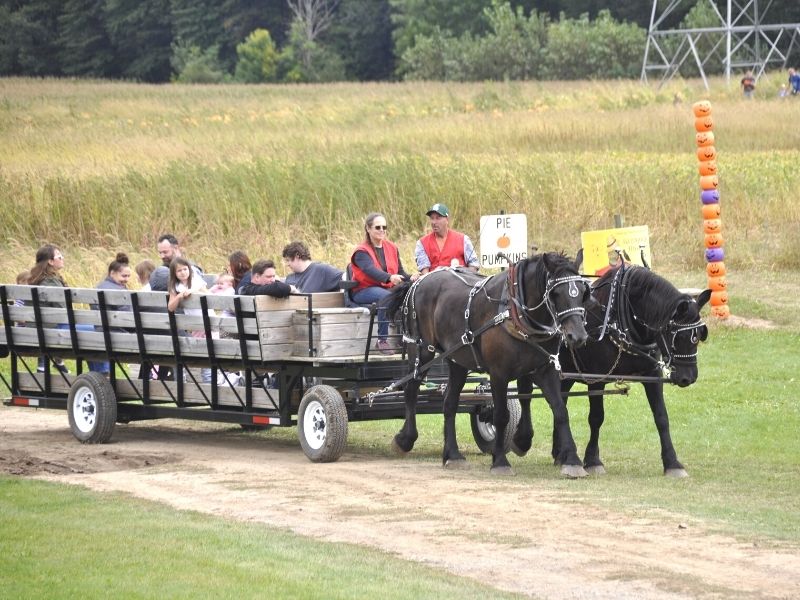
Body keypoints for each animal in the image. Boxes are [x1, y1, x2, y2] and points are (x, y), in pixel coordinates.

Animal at [384, 253, 592, 478]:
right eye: (555, 293)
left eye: (583, 292)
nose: (578, 336)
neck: (515, 313)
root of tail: (418, 281)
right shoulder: (498, 374)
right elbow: (501, 415)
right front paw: (500, 460)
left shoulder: (544, 370)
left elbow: (560, 410)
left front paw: (572, 460)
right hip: (421, 351)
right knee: (411, 390)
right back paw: (405, 439)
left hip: (458, 360)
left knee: (449, 402)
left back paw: (452, 454)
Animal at [510, 264, 708, 476]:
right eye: (677, 336)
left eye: (698, 336)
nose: (688, 377)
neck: (617, 319)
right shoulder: (597, 378)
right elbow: (596, 417)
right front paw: (593, 460)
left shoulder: (652, 375)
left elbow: (661, 417)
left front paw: (672, 463)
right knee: (525, 395)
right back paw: (523, 439)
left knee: (559, 401)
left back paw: (560, 453)